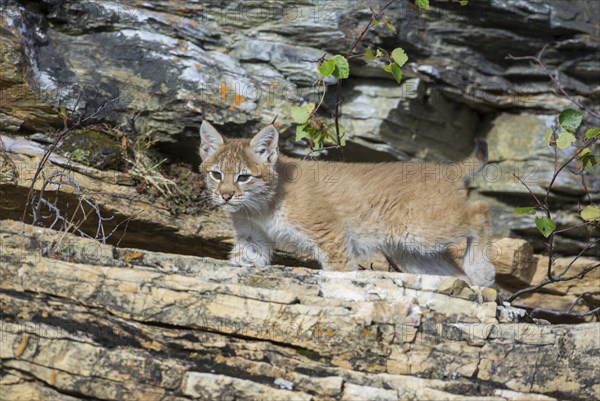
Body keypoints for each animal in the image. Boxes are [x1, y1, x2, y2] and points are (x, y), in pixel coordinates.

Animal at [202, 120, 496, 286]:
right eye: (216, 175)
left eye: (243, 177)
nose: (225, 196)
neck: (259, 206)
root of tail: (445, 168)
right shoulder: (252, 239)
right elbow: (240, 262)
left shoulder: (329, 233)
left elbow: (340, 270)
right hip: (412, 251)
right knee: (456, 274)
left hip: (420, 230)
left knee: (481, 211)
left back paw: (480, 270)